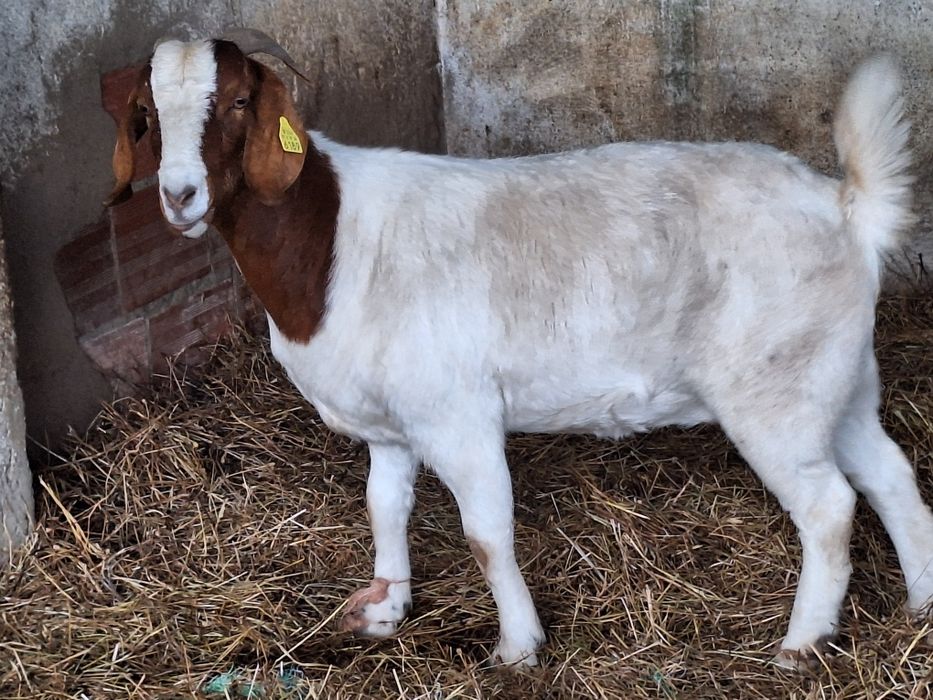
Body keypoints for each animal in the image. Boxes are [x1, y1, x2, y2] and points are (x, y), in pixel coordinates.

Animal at [106, 30, 933, 669]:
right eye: (147, 116)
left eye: (239, 103)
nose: (179, 195)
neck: (331, 243)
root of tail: (845, 207)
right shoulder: (391, 424)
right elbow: (383, 509)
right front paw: (383, 610)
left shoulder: (456, 415)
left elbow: (485, 535)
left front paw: (516, 647)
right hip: (835, 375)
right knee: (892, 479)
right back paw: (920, 605)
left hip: (773, 390)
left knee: (828, 507)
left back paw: (799, 645)